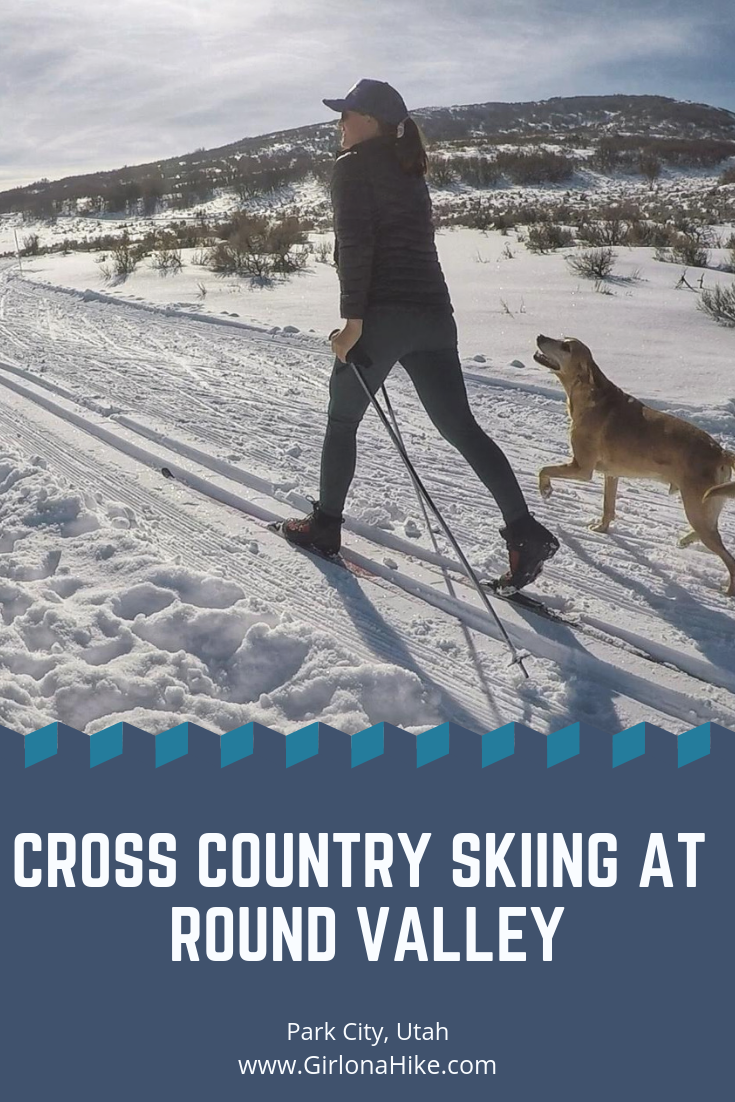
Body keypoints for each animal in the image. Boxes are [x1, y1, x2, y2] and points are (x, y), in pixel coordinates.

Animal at [535, 332, 735, 595]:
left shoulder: (581, 468)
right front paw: (602, 529)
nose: (540, 336)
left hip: (696, 508)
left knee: (729, 557)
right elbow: (608, 508)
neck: (588, 392)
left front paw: (546, 489)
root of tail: (720, 451)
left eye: (566, 347)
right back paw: (686, 540)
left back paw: (729, 589)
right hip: (706, 508)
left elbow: (543, 470)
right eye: (561, 338)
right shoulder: (611, 475)